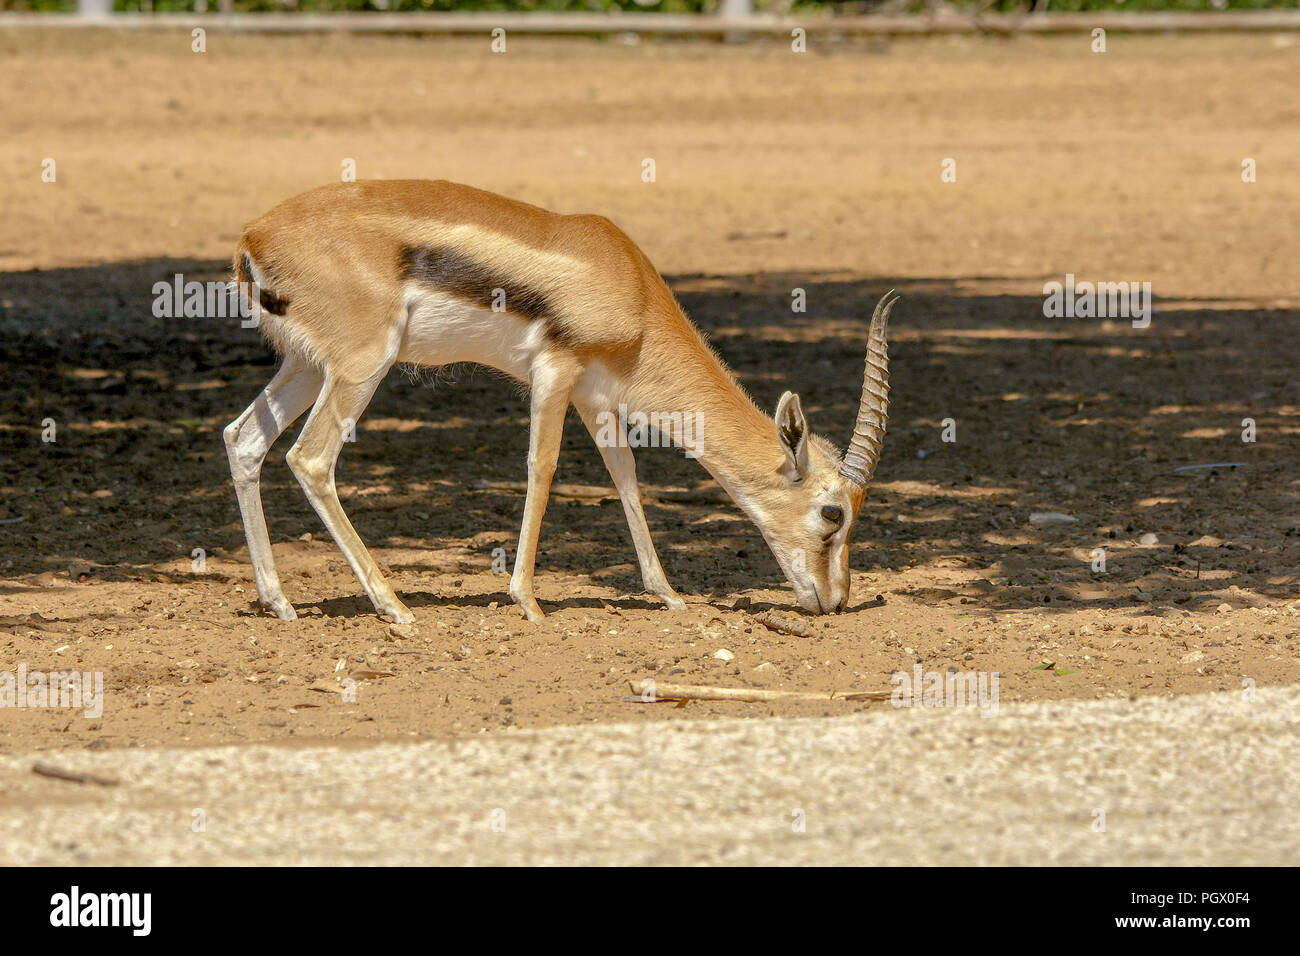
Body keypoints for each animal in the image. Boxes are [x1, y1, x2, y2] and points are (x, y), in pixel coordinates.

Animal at [223, 180, 895, 624]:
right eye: (833, 512)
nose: (835, 601)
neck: (630, 286)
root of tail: (254, 237)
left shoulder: (595, 394)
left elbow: (624, 473)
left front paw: (668, 593)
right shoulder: (555, 373)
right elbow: (541, 468)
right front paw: (527, 600)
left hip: (306, 366)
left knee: (243, 439)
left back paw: (279, 602)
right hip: (362, 366)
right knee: (311, 459)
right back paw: (394, 606)